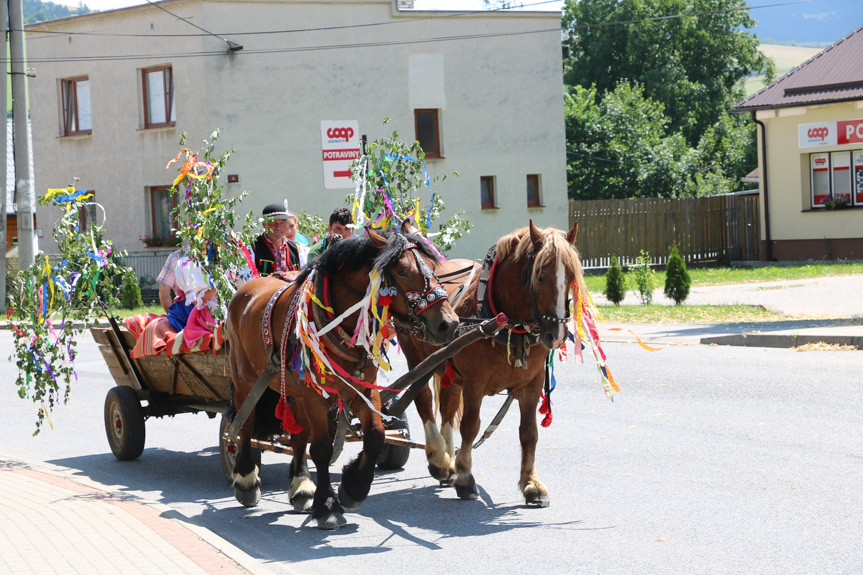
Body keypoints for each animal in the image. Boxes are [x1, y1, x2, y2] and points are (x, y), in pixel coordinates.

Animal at [226, 227, 462, 528]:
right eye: (403, 271)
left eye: (432, 268)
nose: (449, 324)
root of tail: (244, 291)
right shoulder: (315, 395)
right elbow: (322, 449)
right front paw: (328, 505)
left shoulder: (362, 390)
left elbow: (376, 435)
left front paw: (353, 487)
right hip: (245, 379)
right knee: (245, 425)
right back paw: (246, 478)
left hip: (293, 392)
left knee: (298, 436)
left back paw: (301, 486)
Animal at [398, 220, 580, 508]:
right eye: (541, 277)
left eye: (571, 277)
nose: (557, 335)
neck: (508, 326)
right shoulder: (475, 382)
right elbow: (470, 427)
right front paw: (465, 477)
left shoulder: (532, 383)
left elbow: (529, 432)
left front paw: (531, 483)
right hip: (416, 357)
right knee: (424, 400)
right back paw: (439, 459)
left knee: (448, 405)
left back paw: (448, 462)